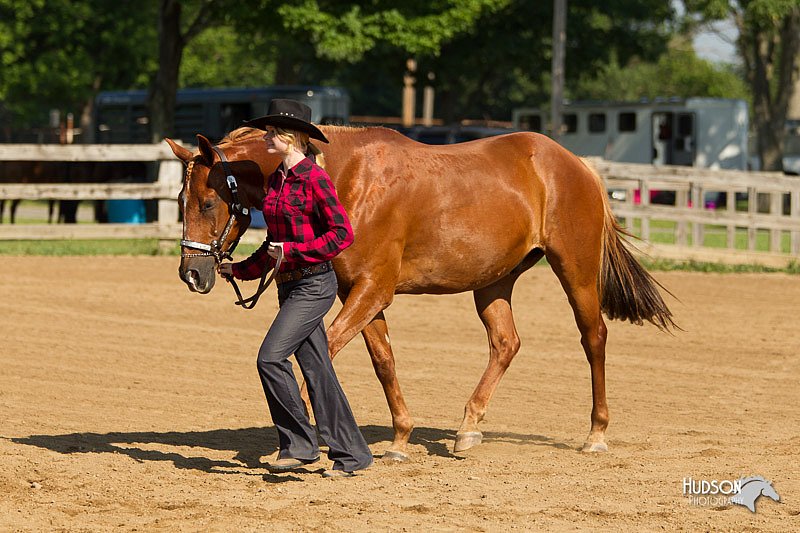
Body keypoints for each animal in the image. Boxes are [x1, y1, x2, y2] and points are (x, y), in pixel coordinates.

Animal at [167, 127, 676, 460]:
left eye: (208, 202)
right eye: (179, 200)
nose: (192, 273)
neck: (347, 177)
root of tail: (577, 165)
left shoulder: (372, 289)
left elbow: (326, 353)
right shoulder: (360, 292)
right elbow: (383, 362)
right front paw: (398, 439)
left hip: (576, 270)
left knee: (594, 339)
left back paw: (596, 434)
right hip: (494, 280)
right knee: (506, 343)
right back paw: (467, 430)